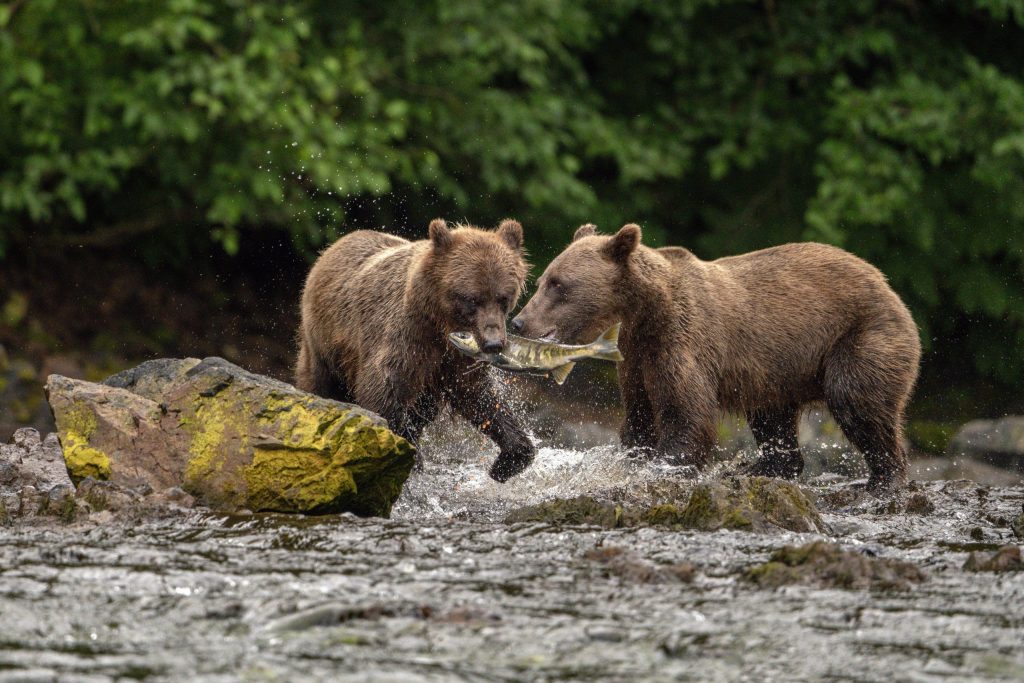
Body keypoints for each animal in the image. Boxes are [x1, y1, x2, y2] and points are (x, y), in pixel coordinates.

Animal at [295, 218, 535, 482]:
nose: (494, 343)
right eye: (472, 299)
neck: (440, 324)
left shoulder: (456, 359)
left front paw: (506, 461)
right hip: (324, 345)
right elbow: (382, 391)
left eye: (503, 297)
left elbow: (480, 397)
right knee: (318, 382)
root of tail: (330, 249)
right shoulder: (405, 338)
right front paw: (405, 457)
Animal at [511, 223, 921, 491]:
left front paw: (664, 466)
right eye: (542, 281)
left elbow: (686, 413)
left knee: (856, 399)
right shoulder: (637, 359)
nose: (518, 321)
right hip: (777, 369)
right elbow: (640, 416)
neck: (645, 315)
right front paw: (636, 458)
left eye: (559, 285)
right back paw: (757, 468)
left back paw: (881, 479)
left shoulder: (683, 342)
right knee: (772, 418)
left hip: (858, 336)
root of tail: (887, 285)